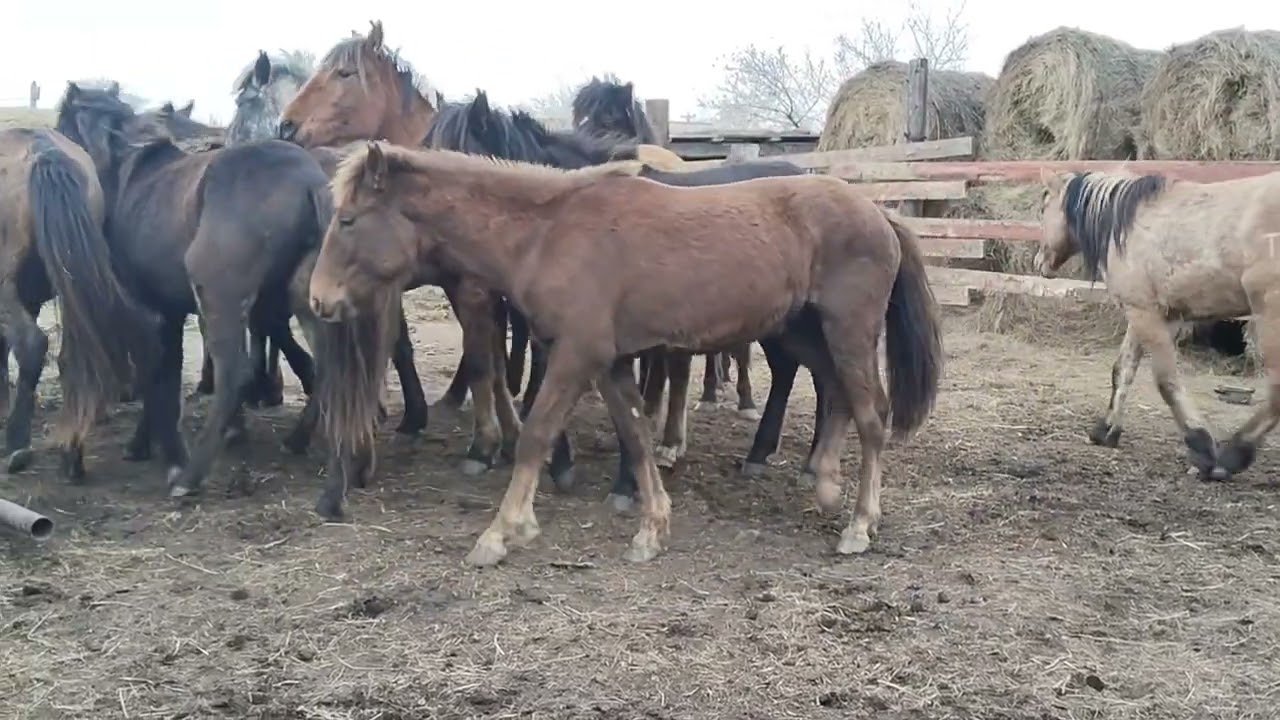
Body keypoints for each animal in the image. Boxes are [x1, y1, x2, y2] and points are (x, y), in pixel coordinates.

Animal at [0, 125, 159, 479]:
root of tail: (42, 150)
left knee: (32, 344)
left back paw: (17, 445)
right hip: (68, 285)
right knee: (71, 358)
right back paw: (71, 452)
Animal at [55, 82, 329, 499]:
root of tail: (309, 182)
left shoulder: (144, 310)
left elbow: (156, 374)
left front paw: (159, 450)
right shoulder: (168, 311)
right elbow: (166, 369)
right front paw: (146, 442)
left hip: (220, 297)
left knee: (236, 374)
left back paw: (191, 476)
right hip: (303, 302)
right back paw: (297, 440)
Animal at [310, 143, 944, 566]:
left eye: (348, 220)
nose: (319, 299)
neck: (548, 232)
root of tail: (878, 213)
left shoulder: (576, 356)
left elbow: (536, 435)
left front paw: (501, 532)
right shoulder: (611, 362)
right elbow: (636, 436)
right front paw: (652, 528)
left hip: (847, 331)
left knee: (871, 417)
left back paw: (859, 525)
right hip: (806, 332)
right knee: (837, 396)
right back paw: (827, 486)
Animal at [1036, 168, 1280, 482]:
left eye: (1044, 206)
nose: (1040, 261)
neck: (1126, 226)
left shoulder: (1146, 315)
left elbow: (1165, 381)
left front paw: (1201, 446)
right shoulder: (1154, 314)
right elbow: (1122, 371)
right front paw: (1106, 430)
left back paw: (1231, 457)